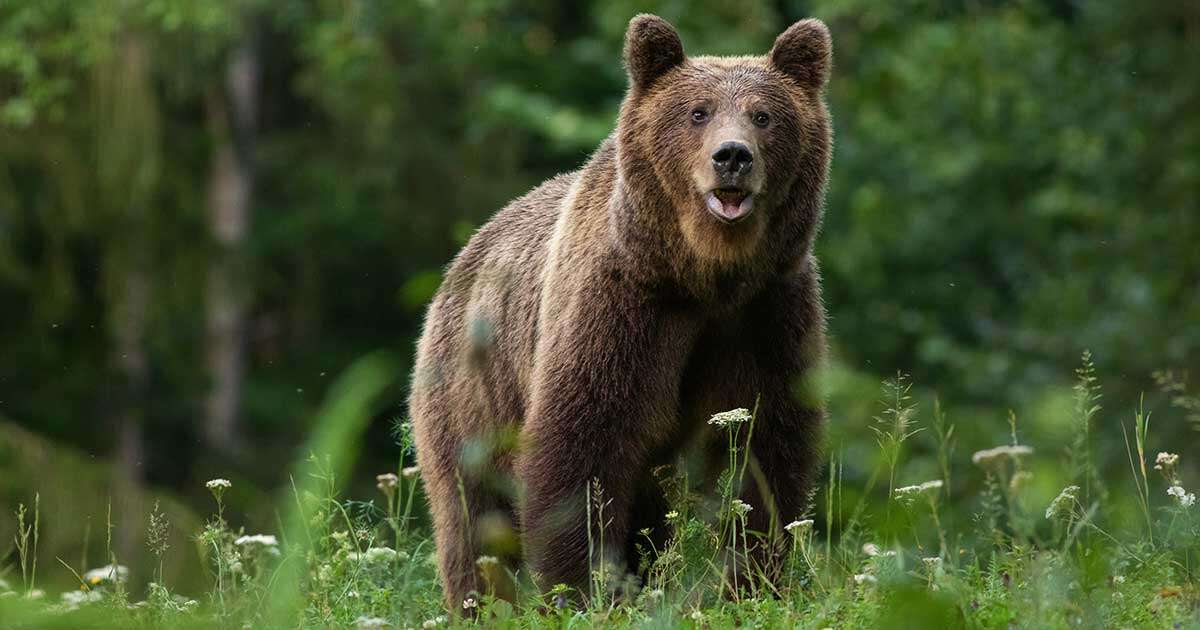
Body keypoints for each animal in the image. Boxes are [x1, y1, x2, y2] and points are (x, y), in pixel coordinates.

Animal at [408, 13, 830, 609]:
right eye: (698, 111)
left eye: (764, 115)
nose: (733, 156)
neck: (704, 275)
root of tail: (462, 258)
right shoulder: (622, 307)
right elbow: (583, 444)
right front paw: (582, 588)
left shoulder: (766, 312)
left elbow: (765, 448)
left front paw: (751, 580)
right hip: (471, 392)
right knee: (474, 515)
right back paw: (481, 602)